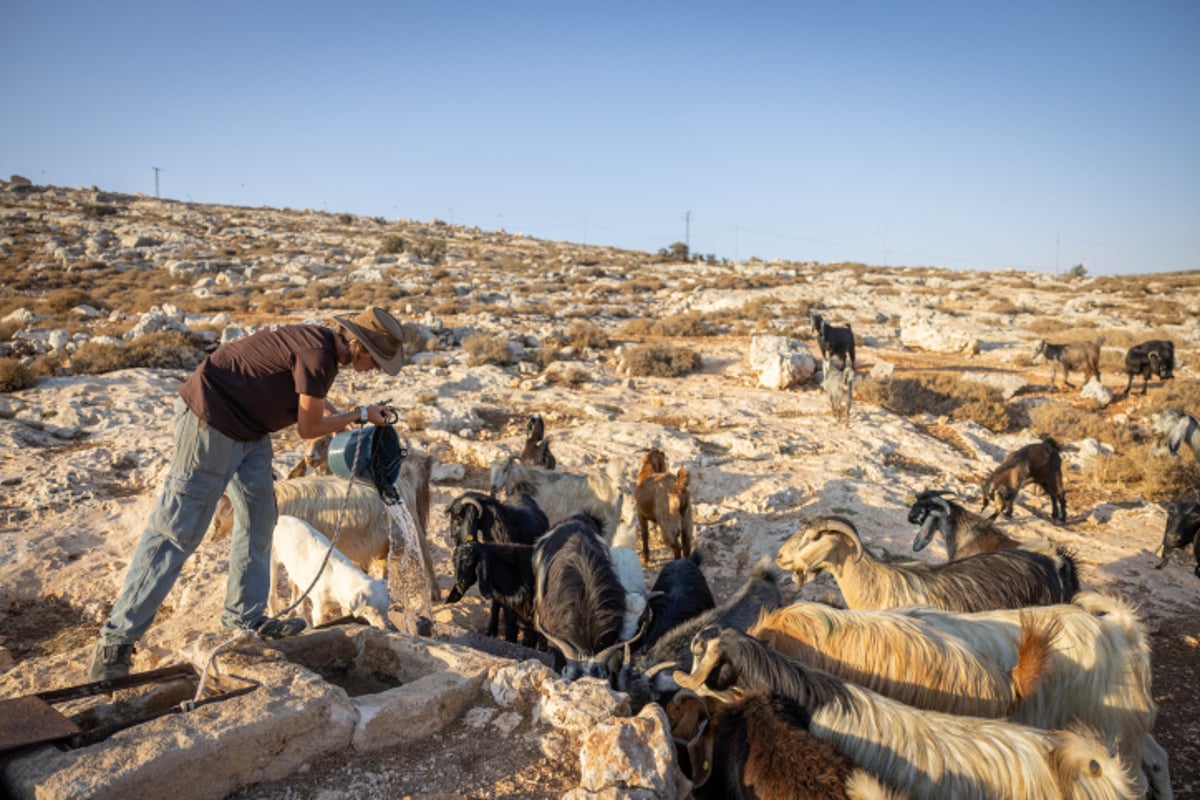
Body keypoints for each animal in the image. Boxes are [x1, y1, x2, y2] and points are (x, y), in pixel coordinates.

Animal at [268, 513, 396, 633]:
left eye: (386, 609)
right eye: (373, 611)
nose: (387, 629)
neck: (337, 580)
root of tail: (280, 517)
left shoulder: (346, 605)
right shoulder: (319, 612)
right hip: (272, 565)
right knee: (271, 595)